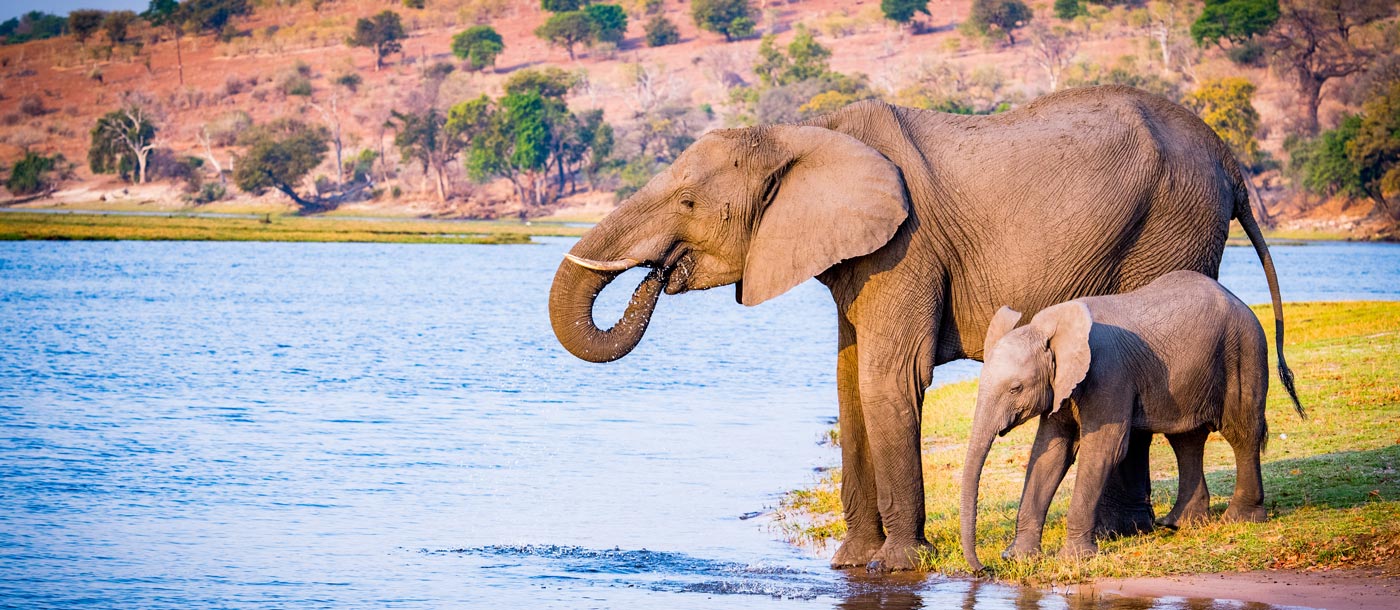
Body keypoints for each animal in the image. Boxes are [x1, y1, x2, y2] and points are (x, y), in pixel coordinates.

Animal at [963, 268, 1299, 570]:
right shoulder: (1062, 385)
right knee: (1186, 439)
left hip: (1243, 352)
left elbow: (1104, 449)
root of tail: (1238, 300)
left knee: (1241, 432)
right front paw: (1018, 558)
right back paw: (1180, 524)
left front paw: (1075, 559)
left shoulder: (1107, 373)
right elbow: (1050, 453)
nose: (983, 568)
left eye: (1015, 388)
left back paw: (1239, 519)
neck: (1049, 329)